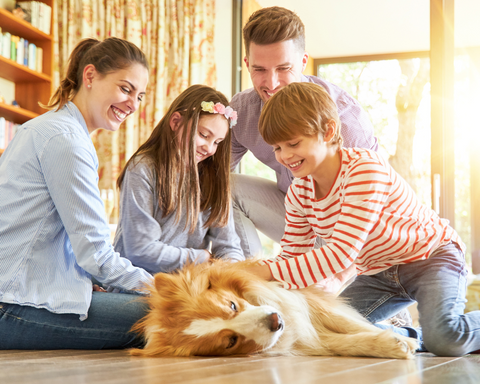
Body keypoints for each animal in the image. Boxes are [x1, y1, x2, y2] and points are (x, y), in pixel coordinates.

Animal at [129, 260, 418, 358]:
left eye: (232, 305)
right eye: (230, 342)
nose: (276, 321)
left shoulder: (306, 301)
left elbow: (349, 324)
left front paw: (403, 343)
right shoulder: (304, 337)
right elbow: (342, 343)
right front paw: (391, 345)